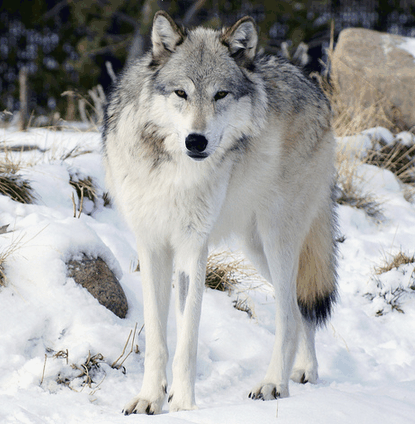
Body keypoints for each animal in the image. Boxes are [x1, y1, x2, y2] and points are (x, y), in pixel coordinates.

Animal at [102, 10, 340, 414]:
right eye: (181, 93)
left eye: (220, 94)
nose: (196, 141)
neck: (173, 171)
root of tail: (314, 88)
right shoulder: (152, 247)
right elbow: (158, 340)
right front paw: (150, 399)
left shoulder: (193, 249)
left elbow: (186, 342)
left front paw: (183, 406)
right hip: (256, 247)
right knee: (298, 309)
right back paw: (305, 371)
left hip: (277, 239)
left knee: (288, 315)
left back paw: (273, 384)